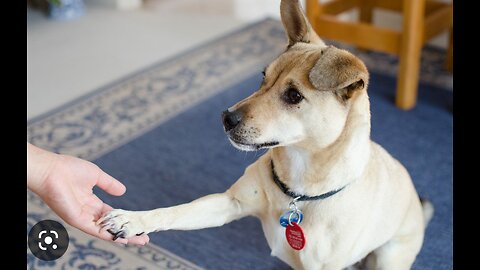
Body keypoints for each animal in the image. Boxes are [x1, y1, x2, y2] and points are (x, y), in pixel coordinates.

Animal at [95, 1, 434, 268]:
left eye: (294, 96)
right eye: (263, 77)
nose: (226, 118)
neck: (298, 189)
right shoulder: (228, 204)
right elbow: (177, 211)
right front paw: (134, 219)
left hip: (389, 256)